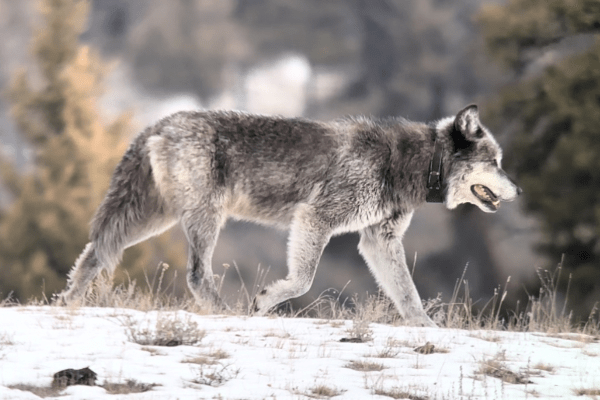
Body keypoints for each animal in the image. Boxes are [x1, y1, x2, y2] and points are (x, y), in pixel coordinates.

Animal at [57, 104, 520, 326]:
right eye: (496, 162)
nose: (519, 190)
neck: (414, 162)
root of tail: (160, 123)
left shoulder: (377, 241)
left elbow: (408, 294)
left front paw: (426, 327)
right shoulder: (315, 219)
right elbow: (302, 280)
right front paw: (264, 302)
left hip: (153, 219)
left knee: (93, 252)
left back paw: (68, 302)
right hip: (202, 219)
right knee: (195, 274)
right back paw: (227, 313)